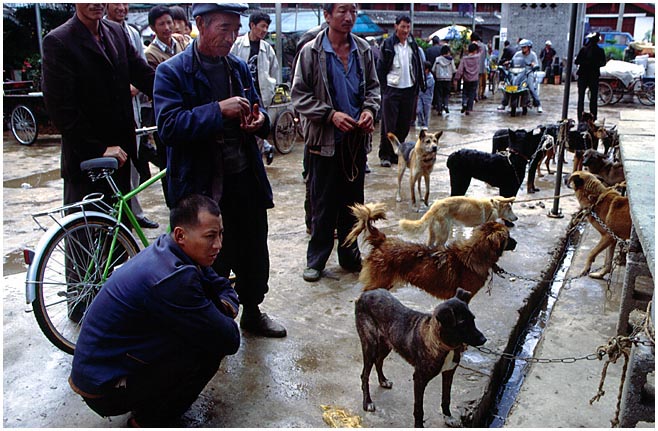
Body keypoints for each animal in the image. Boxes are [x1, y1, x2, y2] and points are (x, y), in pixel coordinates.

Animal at [354, 286, 486, 428]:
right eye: (462, 324)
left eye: (473, 319)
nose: (484, 339)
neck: (444, 345)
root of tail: (364, 294)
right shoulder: (419, 379)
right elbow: (419, 408)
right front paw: (419, 425)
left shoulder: (449, 372)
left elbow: (446, 398)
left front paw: (448, 417)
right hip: (370, 345)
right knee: (365, 375)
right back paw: (367, 402)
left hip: (387, 344)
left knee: (379, 362)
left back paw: (383, 380)